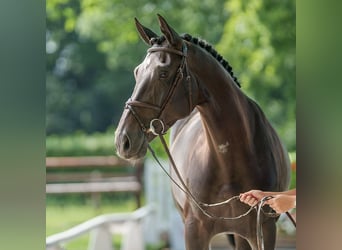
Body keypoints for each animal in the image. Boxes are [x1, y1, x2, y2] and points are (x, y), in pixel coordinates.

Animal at [114, 14, 288, 249]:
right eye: (136, 72)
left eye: (163, 73)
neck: (230, 161)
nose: (123, 140)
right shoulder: (194, 230)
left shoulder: (264, 229)